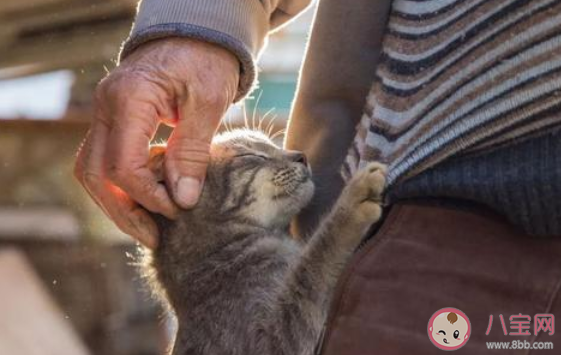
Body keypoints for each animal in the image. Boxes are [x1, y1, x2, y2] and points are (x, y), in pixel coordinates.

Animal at [144, 130, 384, 355]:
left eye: (272, 144)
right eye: (252, 155)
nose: (302, 156)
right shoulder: (270, 341)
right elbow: (315, 265)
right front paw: (352, 200)